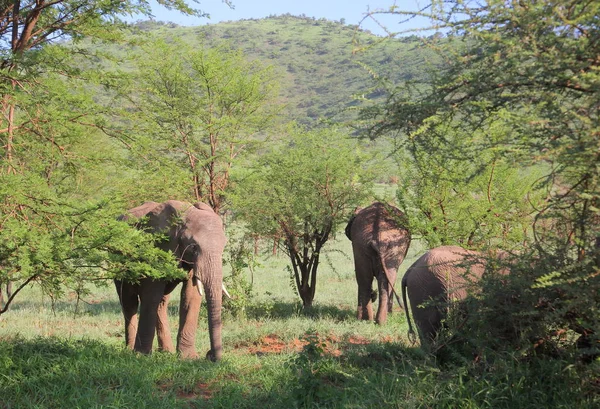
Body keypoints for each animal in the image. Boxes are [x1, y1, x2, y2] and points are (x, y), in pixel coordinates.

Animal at [113, 200, 226, 360]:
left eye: (224, 246)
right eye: (194, 247)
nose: (209, 355)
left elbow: (190, 297)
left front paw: (188, 357)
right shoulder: (155, 247)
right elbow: (151, 296)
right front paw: (141, 356)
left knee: (161, 302)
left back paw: (167, 351)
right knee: (129, 301)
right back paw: (129, 350)